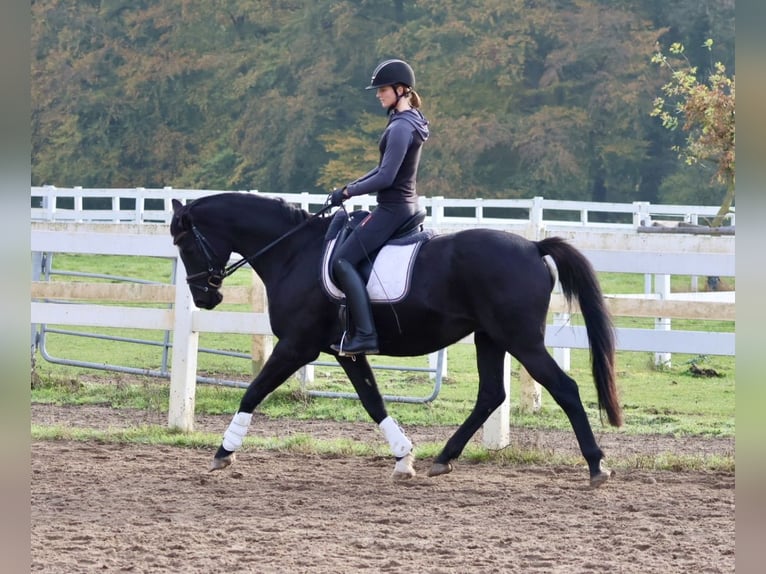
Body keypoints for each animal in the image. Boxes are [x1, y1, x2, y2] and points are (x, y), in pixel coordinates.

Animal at [170, 195, 624, 490]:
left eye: (185, 242)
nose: (205, 298)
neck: (294, 252)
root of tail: (532, 244)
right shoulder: (346, 352)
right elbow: (373, 402)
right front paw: (404, 458)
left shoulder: (297, 346)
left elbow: (253, 391)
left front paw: (223, 452)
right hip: (490, 338)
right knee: (491, 395)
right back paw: (443, 459)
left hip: (520, 339)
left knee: (564, 388)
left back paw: (596, 466)